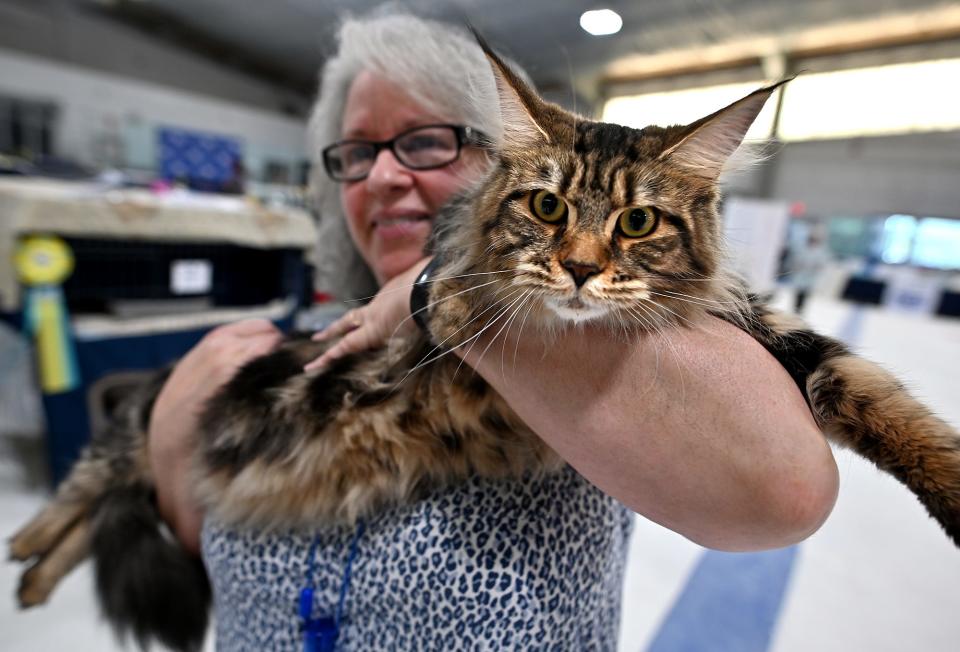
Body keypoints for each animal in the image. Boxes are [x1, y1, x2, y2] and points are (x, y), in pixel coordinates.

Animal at [9, 39, 960, 652]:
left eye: (638, 223)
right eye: (546, 206)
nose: (580, 269)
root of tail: (149, 376)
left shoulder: (778, 338)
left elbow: (884, 401)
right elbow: (472, 289)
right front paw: (465, 300)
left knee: (102, 509)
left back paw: (33, 575)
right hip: (134, 436)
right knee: (86, 487)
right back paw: (26, 554)